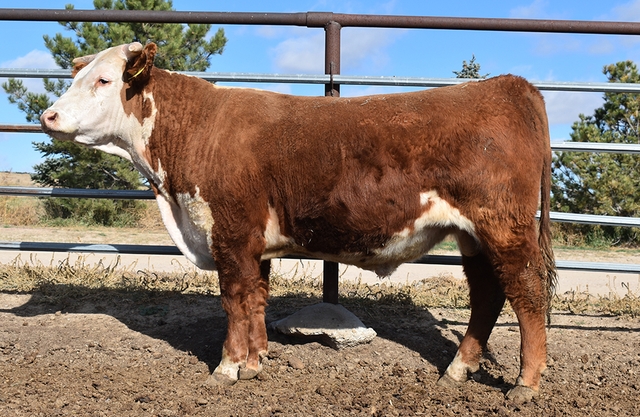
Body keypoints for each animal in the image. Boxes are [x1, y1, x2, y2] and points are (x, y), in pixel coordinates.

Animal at [40, 42, 557, 403]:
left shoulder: (229, 233)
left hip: (503, 226)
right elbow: (255, 300)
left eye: (104, 80)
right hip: (474, 235)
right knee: (487, 295)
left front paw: (227, 369)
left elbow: (233, 302)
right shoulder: (253, 242)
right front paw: (256, 361)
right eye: (78, 76)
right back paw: (457, 370)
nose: (49, 115)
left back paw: (525, 384)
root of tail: (506, 85)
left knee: (527, 292)